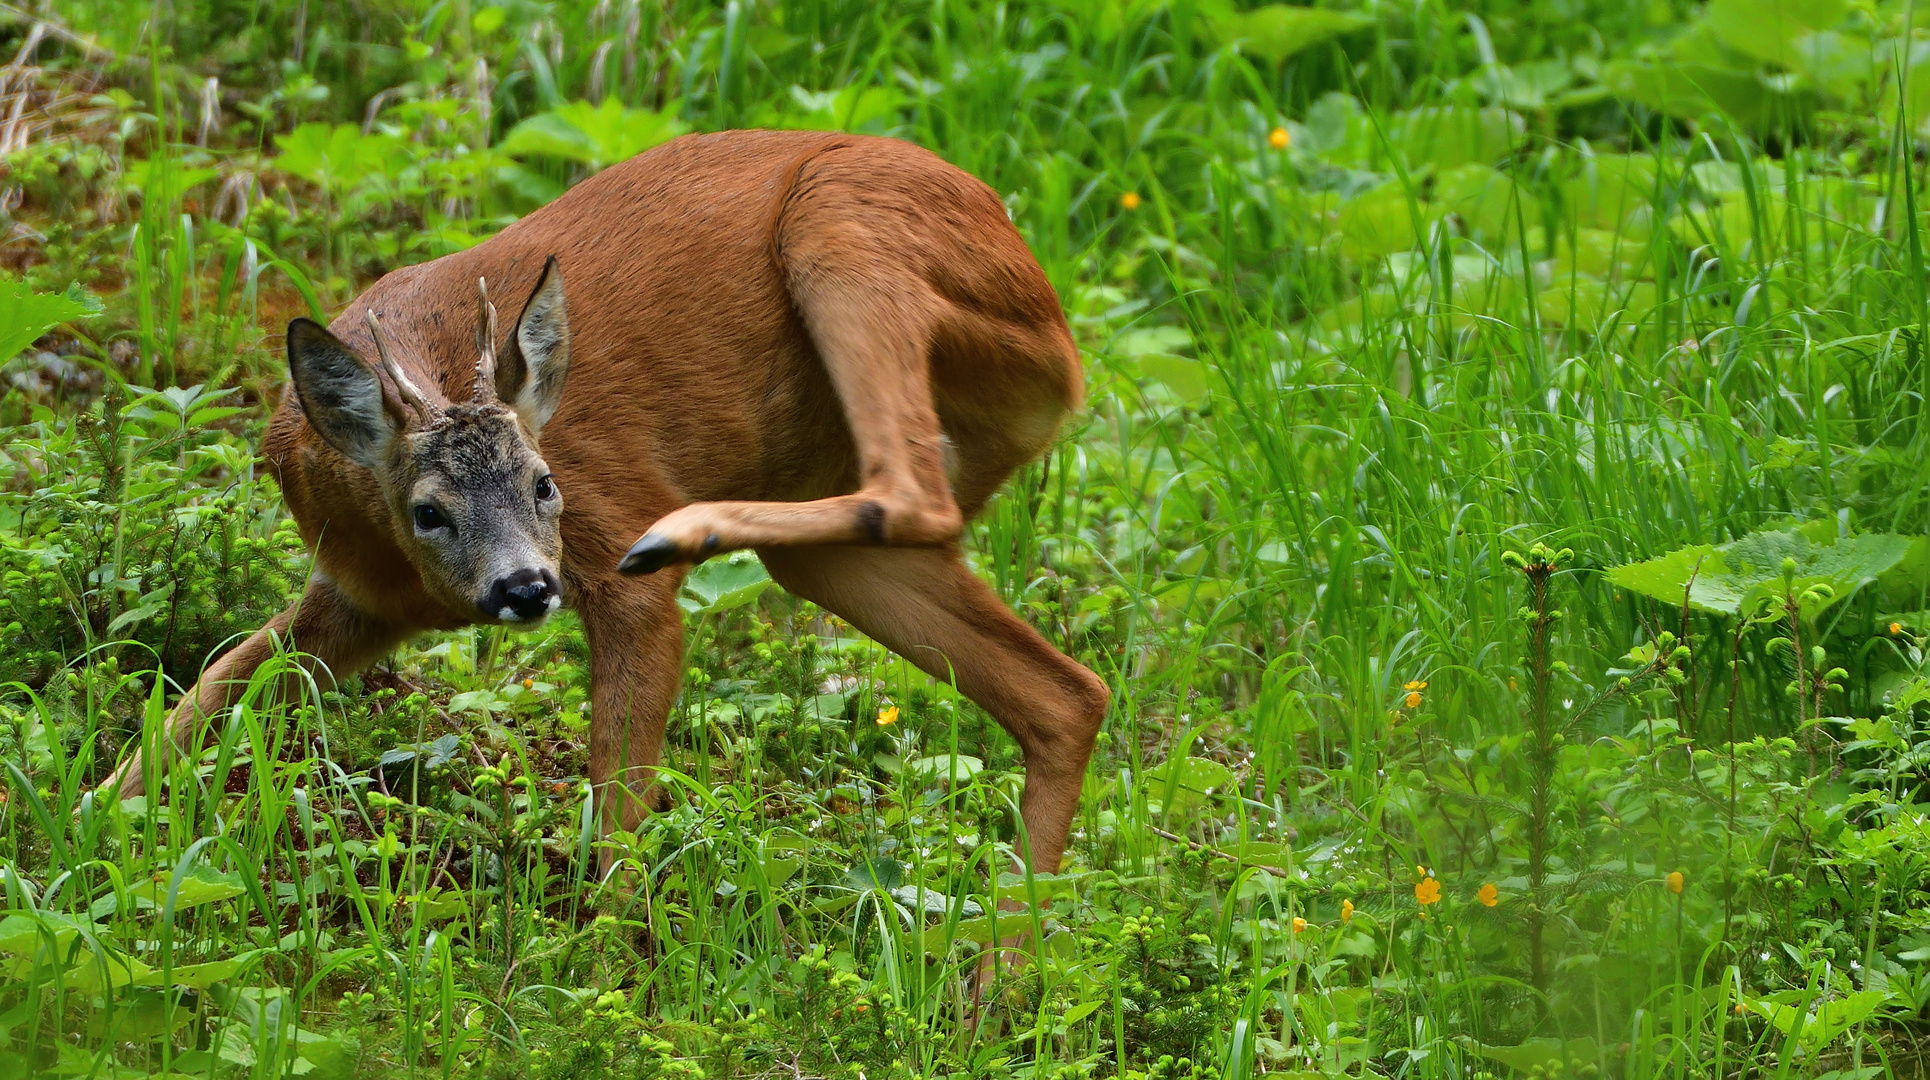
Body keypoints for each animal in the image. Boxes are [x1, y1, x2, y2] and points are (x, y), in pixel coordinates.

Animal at [109, 131, 1103, 883]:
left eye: (545, 484)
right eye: (429, 510)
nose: (523, 587)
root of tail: (1057, 328)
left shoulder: (611, 542)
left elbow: (620, 799)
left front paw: (605, 970)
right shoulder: (358, 600)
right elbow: (212, 689)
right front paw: (92, 831)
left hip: (843, 227)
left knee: (914, 492)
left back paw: (686, 531)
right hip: (840, 516)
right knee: (1069, 692)